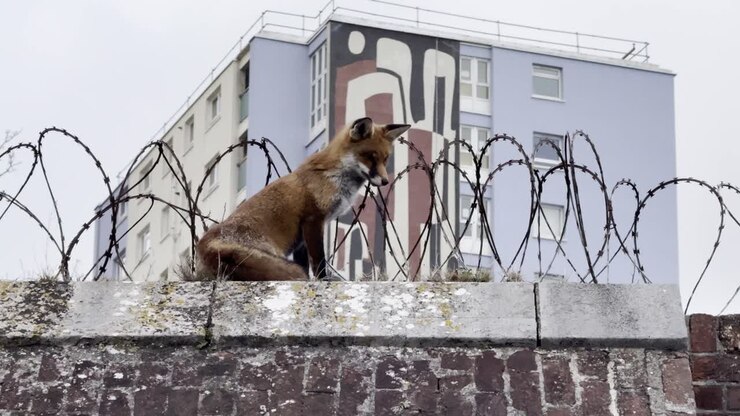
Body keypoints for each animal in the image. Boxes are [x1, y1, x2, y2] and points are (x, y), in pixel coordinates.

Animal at [196, 117, 411, 281]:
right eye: (370, 157)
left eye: (385, 159)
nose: (385, 181)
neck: (334, 175)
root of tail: (205, 249)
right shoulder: (313, 220)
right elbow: (319, 262)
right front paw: (324, 281)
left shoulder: (301, 239)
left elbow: (307, 265)